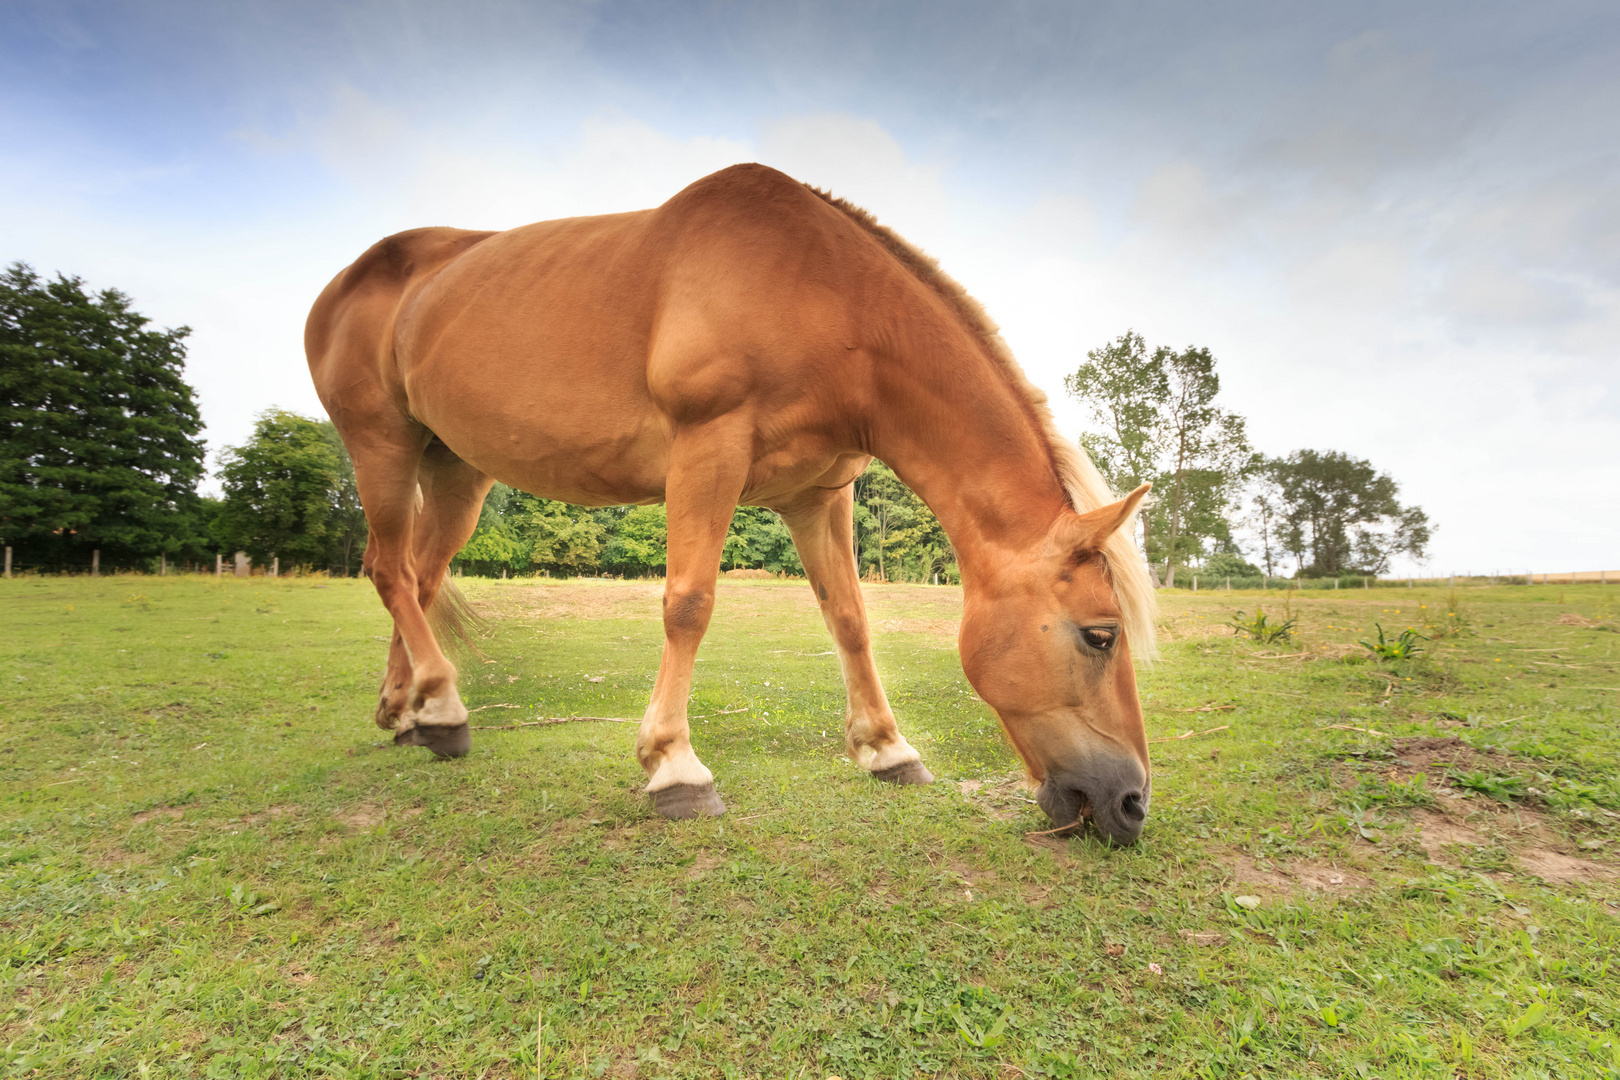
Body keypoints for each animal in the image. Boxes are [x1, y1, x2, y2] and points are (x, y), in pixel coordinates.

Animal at [304, 165, 1159, 848]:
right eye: (1100, 636)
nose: (1131, 803)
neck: (824, 298)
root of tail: (344, 282)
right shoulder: (706, 452)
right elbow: (689, 603)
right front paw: (675, 767)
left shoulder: (818, 496)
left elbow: (849, 619)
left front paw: (887, 749)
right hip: (381, 446)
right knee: (389, 569)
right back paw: (443, 707)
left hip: (455, 470)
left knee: (417, 577)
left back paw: (413, 713)